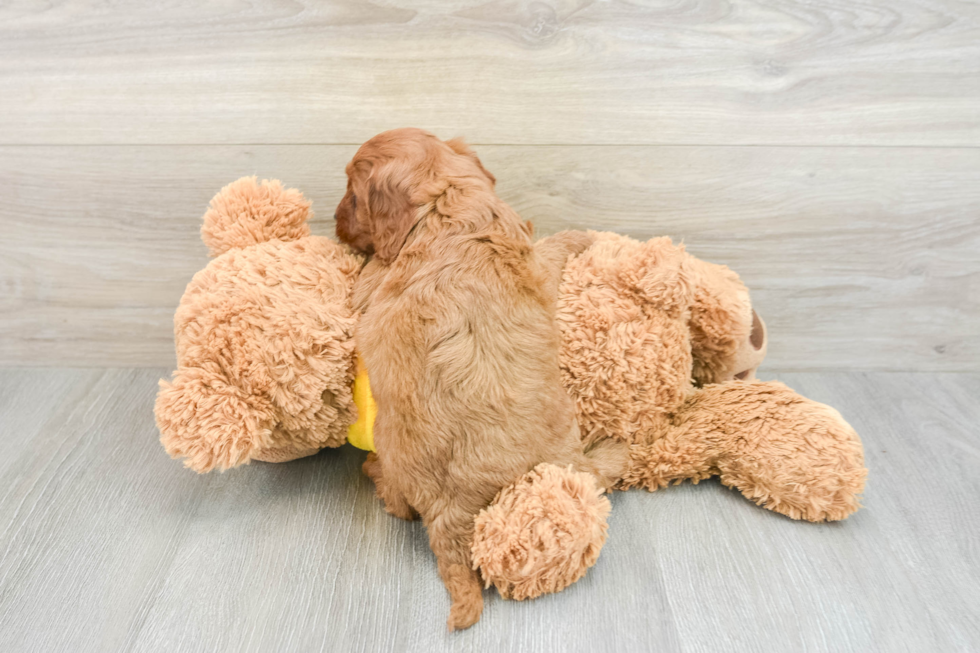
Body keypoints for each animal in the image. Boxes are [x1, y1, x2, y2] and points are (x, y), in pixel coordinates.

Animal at [334, 129, 616, 632]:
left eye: (351, 195)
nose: (332, 224)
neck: (446, 199)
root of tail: (455, 517)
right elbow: (551, 246)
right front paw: (582, 236)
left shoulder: (374, 278)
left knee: (398, 502)